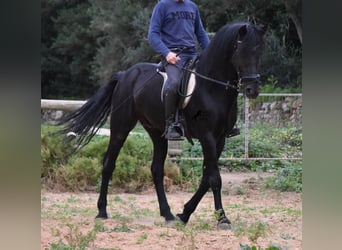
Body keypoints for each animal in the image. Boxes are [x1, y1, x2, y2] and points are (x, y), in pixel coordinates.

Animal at [58, 22, 268, 229]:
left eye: (260, 53)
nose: (252, 90)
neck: (211, 88)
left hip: (156, 132)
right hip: (121, 127)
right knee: (109, 164)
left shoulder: (220, 139)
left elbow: (206, 178)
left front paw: (185, 213)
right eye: (241, 51)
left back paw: (167, 214)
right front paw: (222, 219)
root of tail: (125, 74)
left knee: (156, 170)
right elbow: (214, 178)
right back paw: (102, 211)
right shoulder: (207, 136)